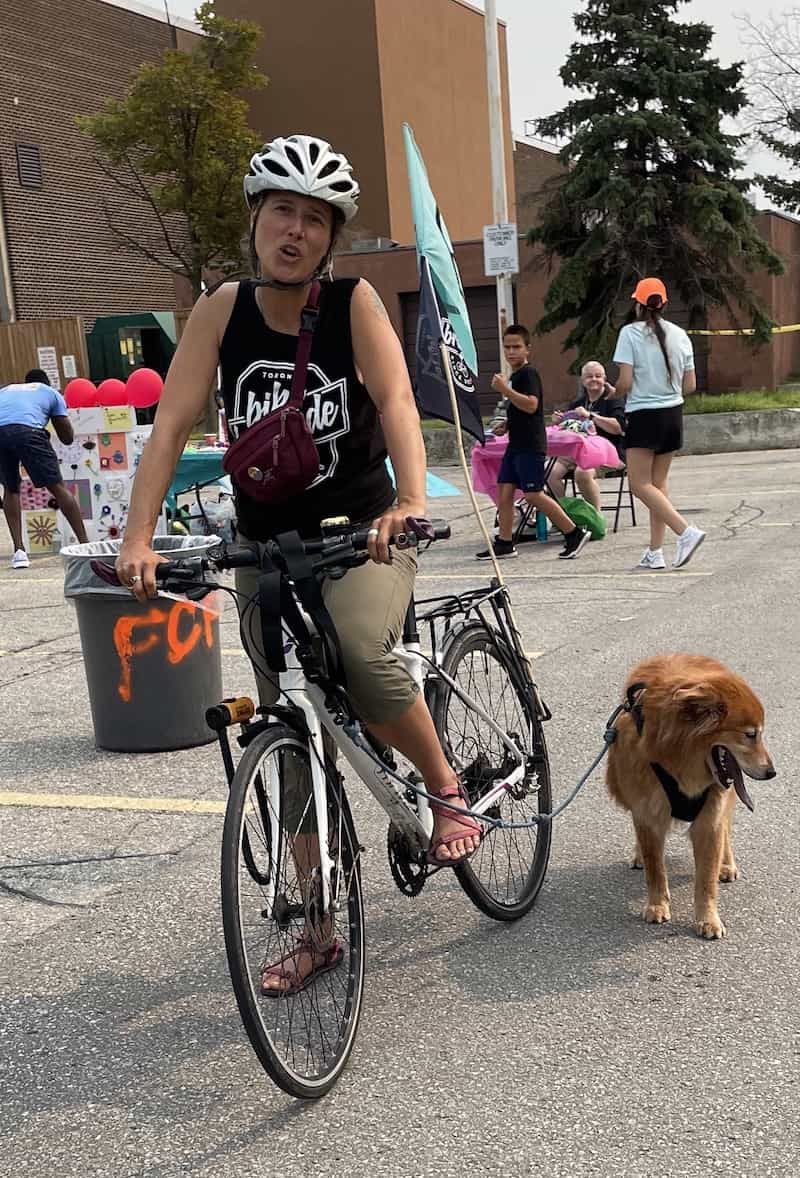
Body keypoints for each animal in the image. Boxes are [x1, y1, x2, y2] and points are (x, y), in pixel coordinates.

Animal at [607, 654, 772, 937]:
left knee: (726, 829)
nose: (772, 772)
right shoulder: (647, 811)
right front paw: (657, 904)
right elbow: (655, 867)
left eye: (758, 733)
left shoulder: (710, 819)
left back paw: (726, 865)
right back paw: (639, 855)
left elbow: (706, 880)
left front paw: (708, 919)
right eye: (751, 734)